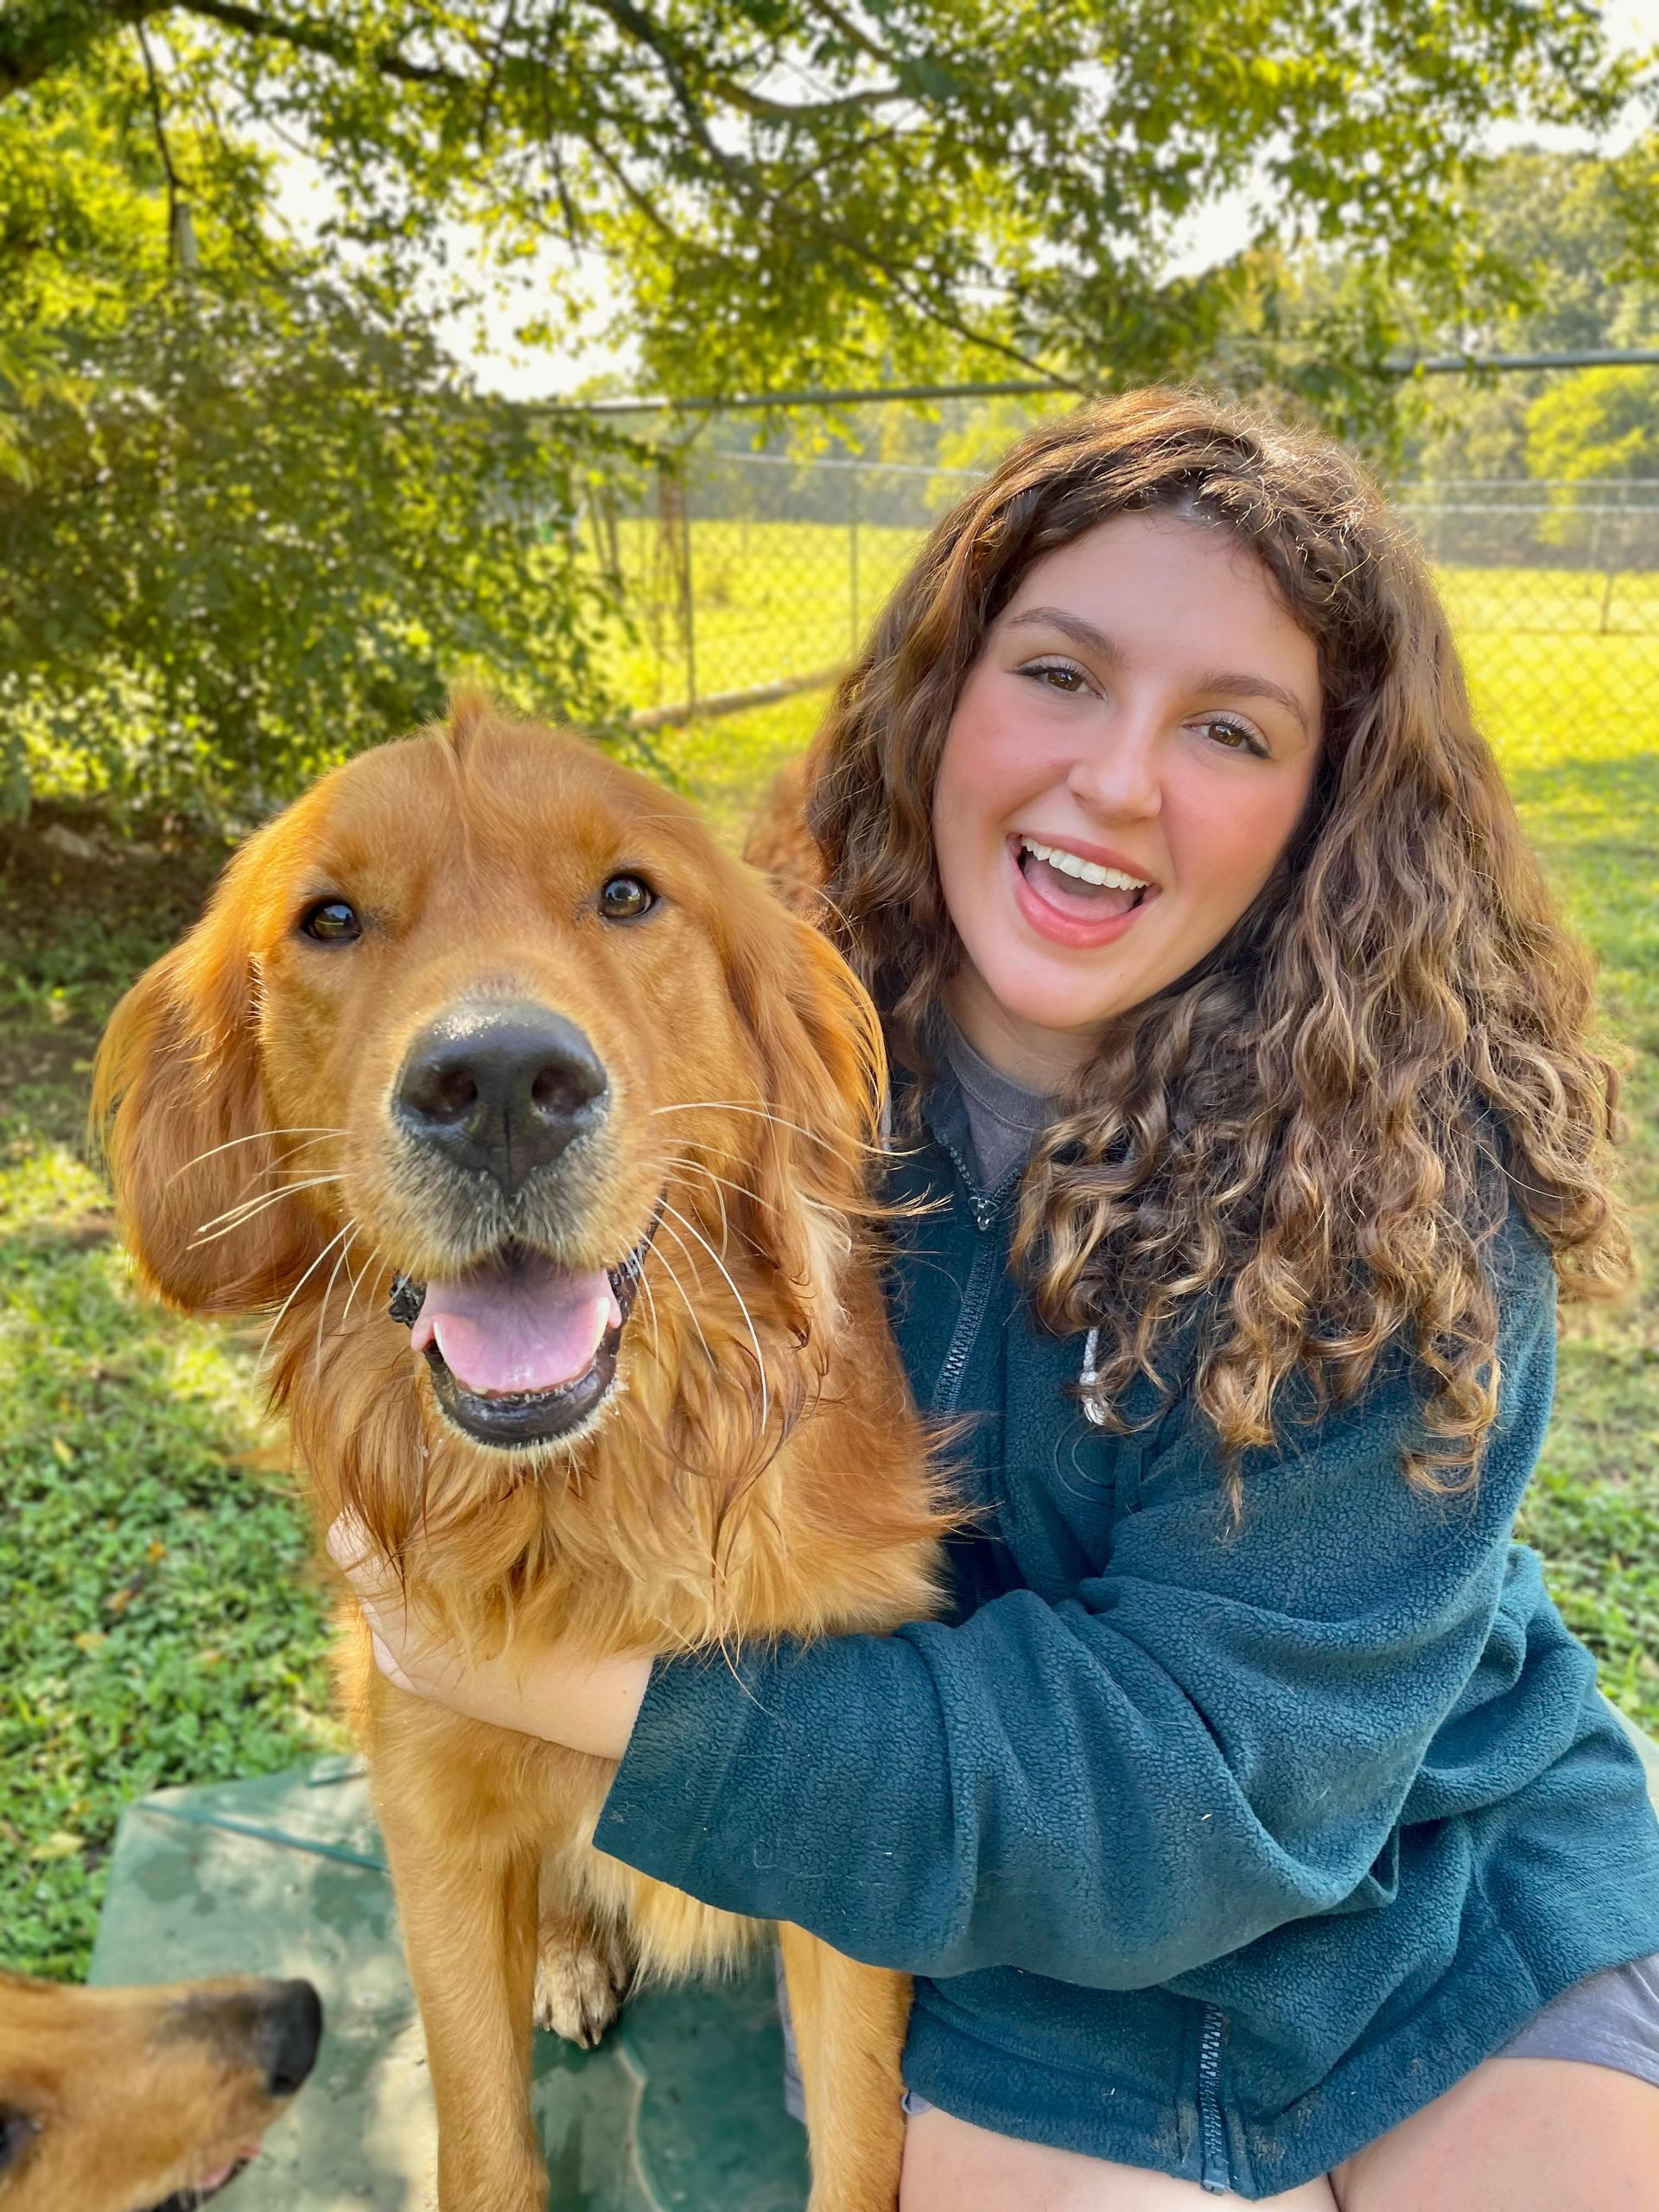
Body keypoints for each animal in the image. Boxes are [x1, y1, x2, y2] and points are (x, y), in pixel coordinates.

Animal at [94, 693, 947, 2212]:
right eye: (329, 920)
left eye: (628, 895)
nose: (497, 1083)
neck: (590, 1510)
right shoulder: (433, 1819)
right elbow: (483, 2139)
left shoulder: (860, 1838)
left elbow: (859, 2142)